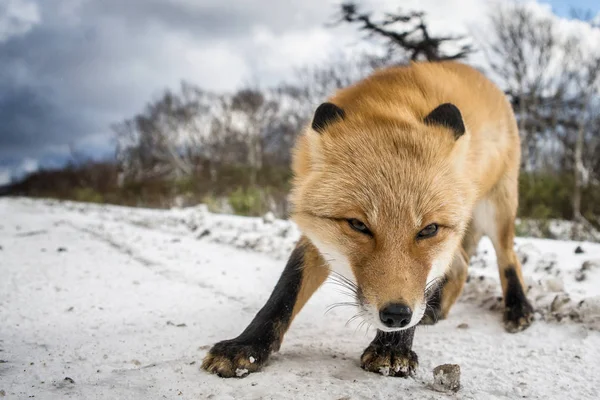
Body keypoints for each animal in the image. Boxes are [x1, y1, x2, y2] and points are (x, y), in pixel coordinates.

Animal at [203, 61, 536, 378]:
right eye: (359, 225)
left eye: (428, 229)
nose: (397, 315)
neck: (393, 103)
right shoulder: (316, 236)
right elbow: (283, 295)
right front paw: (247, 347)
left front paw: (393, 349)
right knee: (464, 263)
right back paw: (436, 310)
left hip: (497, 210)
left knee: (508, 258)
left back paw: (518, 309)